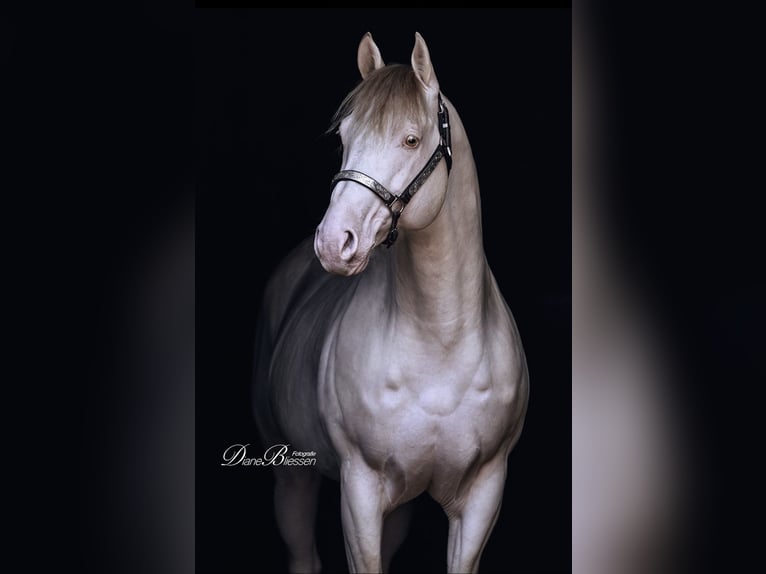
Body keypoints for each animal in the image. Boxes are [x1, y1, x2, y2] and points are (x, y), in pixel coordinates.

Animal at [252, 32, 529, 573]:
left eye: (411, 140)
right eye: (344, 138)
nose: (333, 242)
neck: (440, 341)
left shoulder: (484, 493)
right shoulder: (359, 490)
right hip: (292, 479)